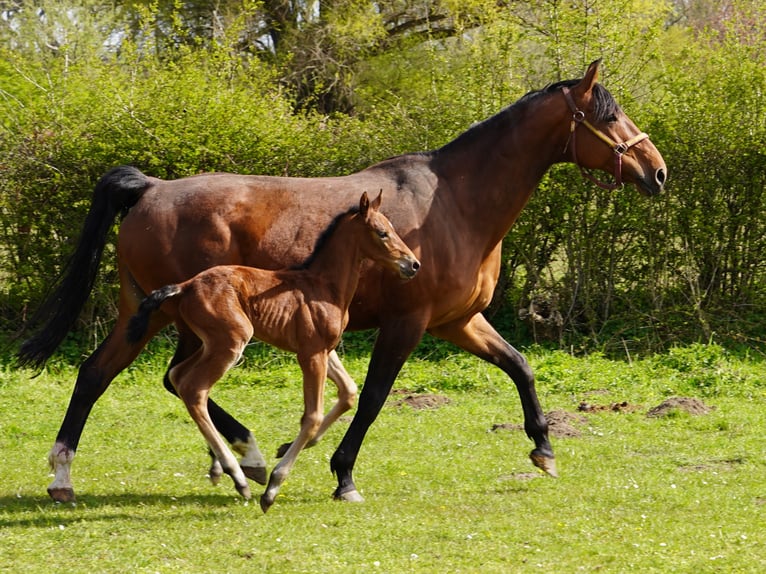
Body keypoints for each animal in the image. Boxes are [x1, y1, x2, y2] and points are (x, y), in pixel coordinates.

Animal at [18, 60, 664, 506]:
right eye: (609, 116)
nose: (657, 171)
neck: (455, 203)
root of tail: (148, 189)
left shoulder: (459, 321)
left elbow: (521, 367)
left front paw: (544, 450)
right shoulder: (408, 324)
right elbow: (374, 397)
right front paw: (342, 473)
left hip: (150, 314)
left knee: (103, 374)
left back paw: (80, 475)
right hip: (184, 321)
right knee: (167, 381)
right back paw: (239, 459)